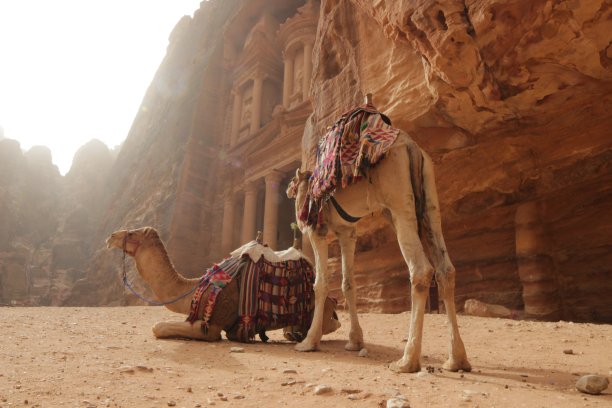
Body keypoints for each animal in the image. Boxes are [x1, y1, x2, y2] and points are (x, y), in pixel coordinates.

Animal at [290, 116, 470, 372]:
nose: (289, 190)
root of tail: (412, 147)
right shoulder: (347, 232)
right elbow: (348, 283)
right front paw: (355, 341)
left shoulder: (316, 231)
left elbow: (321, 284)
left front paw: (308, 342)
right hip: (429, 200)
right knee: (445, 269)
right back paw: (456, 360)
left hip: (398, 200)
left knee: (421, 269)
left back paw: (407, 360)